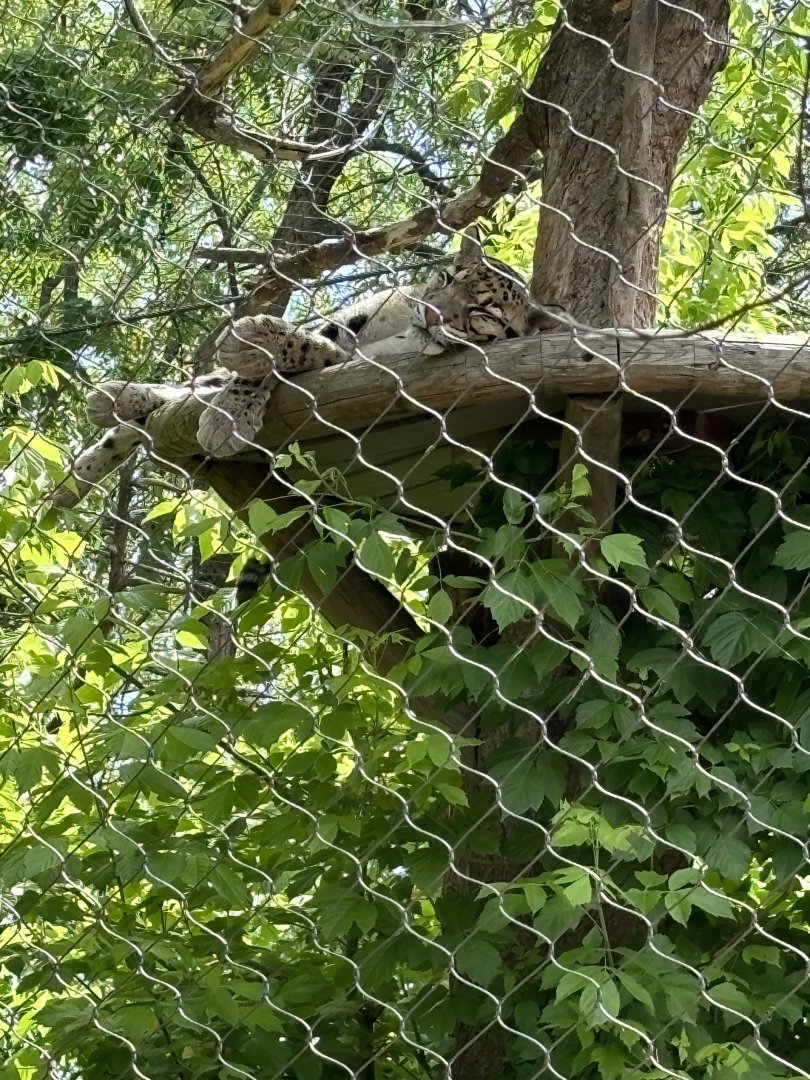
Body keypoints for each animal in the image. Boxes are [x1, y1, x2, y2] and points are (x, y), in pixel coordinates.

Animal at [52, 239, 543, 511]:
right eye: (446, 277)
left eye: (482, 311)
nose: (431, 312)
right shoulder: (346, 327)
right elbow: (277, 353)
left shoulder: (362, 365)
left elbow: (303, 351)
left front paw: (229, 414)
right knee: (188, 389)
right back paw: (109, 416)